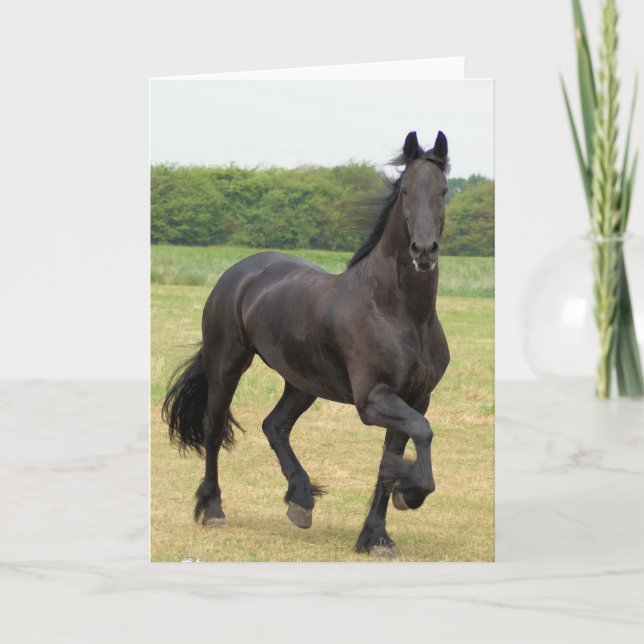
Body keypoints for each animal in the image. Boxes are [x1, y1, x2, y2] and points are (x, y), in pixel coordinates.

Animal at [162, 130, 451, 556]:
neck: (401, 314)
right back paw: (213, 509)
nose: (424, 251)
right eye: (405, 191)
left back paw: (300, 500)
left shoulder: (416, 398)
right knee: (214, 427)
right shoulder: (373, 400)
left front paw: (377, 534)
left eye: (444, 191)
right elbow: (422, 433)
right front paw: (409, 492)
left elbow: (392, 457)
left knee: (275, 425)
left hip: (302, 382)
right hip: (227, 364)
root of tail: (240, 271)